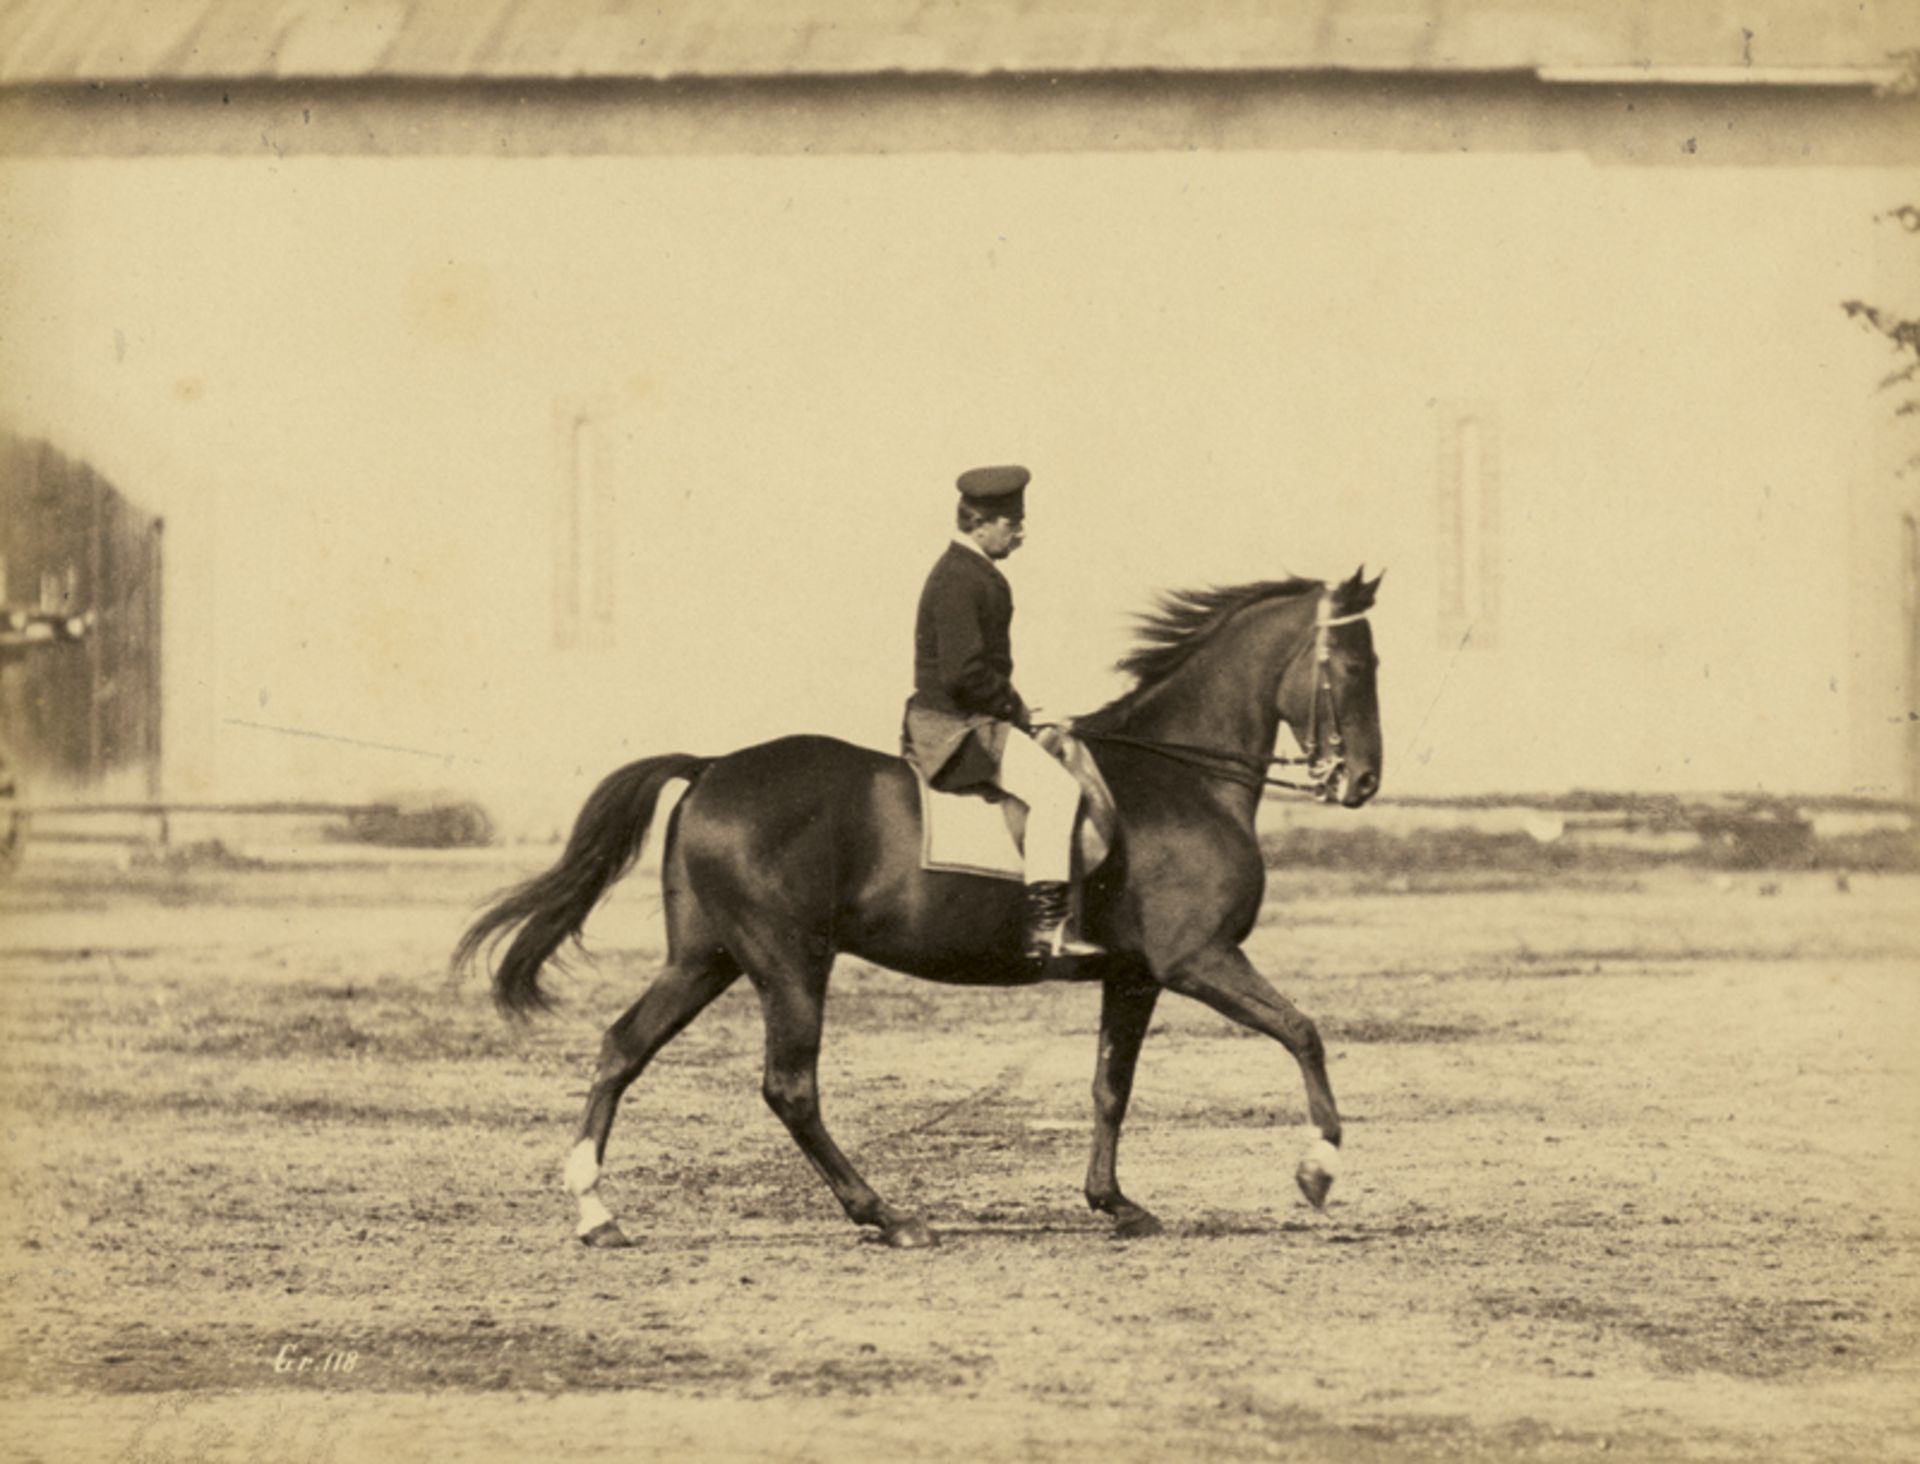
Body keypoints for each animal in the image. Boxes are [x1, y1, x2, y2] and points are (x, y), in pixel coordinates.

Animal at [453, 564, 1382, 1252]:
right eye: (1352, 667)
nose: (1363, 783)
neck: (1181, 777)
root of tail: (713, 764)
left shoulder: (1135, 976)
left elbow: (1109, 1087)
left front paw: (1114, 1204)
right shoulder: (1198, 959)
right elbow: (1302, 1031)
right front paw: (1318, 1171)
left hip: (706, 958)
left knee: (623, 1048)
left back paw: (597, 1216)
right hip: (789, 962)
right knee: (790, 1086)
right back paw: (889, 1216)